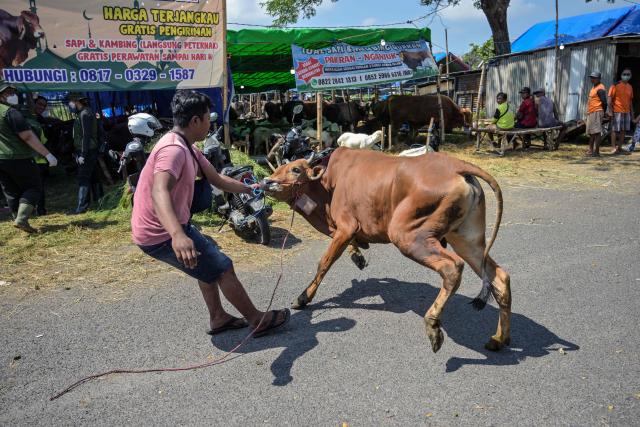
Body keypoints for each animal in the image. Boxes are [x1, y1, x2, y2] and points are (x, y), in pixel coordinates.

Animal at [264, 148, 511, 353]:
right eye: (277, 169)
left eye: (295, 169)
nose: (267, 182)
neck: (328, 183)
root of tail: (457, 165)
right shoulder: (346, 230)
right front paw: (357, 256)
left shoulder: (346, 226)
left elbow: (324, 263)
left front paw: (303, 298)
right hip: (465, 239)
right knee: (499, 277)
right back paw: (498, 339)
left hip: (407, 235)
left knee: (453, 267)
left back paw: (433, 325)